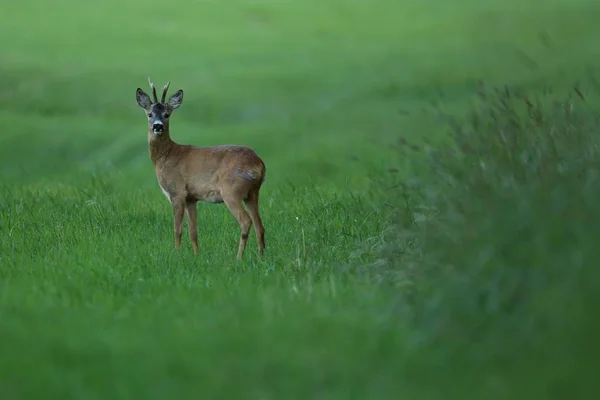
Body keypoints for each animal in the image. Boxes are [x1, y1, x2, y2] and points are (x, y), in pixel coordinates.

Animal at [137, 77, 268, 260]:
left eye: (167, 114)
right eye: (149, 114)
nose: (158, 126)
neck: (166, 156)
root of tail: (258, 164)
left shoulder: (177, 192)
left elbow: (177, 229)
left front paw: (176, 254)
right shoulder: (191, 198)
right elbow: (193, 231)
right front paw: (196, 256)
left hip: (231, 190)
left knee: (246, 222)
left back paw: (238, 258)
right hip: (252, 193)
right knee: (259, 225)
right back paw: (261, 257)